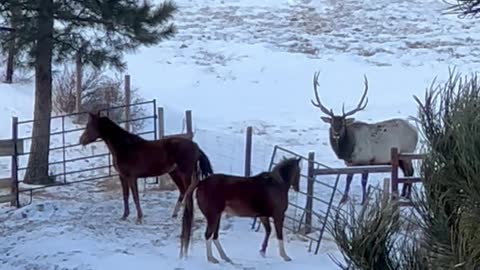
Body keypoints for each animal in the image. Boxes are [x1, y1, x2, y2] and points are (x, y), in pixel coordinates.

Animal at [79, 112, 214, 224]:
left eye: (89, 126)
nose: (81, 140)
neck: (125, 147)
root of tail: (195, 145)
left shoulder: (131, 177)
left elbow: (135, 196)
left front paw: (139, 218)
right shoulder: (122, 176)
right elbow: (125, 195)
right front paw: (124, 216)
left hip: (185, 173)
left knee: (189, 190)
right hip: (174, 173)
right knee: (183, 190)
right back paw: (175, 214)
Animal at [312, 71, 416, 205]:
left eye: (343, 124)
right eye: (332, 123)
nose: (336, 133)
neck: (348, 149)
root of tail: (416, 130)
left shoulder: (366, 160)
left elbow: (363, 181)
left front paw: (363, 200)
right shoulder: (350, 164)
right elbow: (348, 179)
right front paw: (343, 200)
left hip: (407, 152)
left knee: (410, 172)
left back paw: (408, 196)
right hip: (401, 158)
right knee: (406, 173)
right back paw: (403, 194)